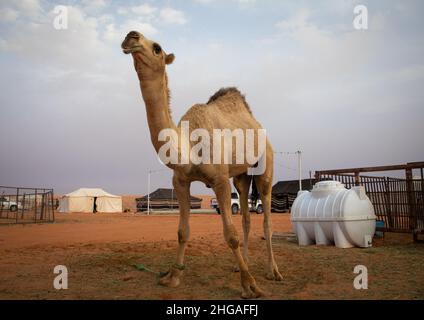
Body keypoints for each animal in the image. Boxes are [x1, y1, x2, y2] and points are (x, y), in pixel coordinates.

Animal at [121, 30, 284, 298]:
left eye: (157, 48)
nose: (131, 36)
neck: (188, 145)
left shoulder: (219, 180)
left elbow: (230, 235)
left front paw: (250, 286)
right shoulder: (180, 181)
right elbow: (182, 232)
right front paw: (172, 276)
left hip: (265, 166)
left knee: (267, 219)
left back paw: (273, 272)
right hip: (240, 176)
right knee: (246, 216)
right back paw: (241, 266)